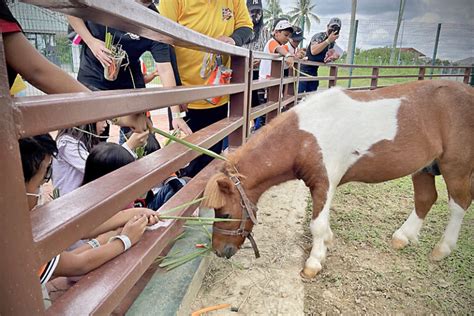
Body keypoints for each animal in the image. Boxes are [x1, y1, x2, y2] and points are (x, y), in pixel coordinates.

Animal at [202, 80, 472, 278]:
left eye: (225, 213)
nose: (218, 251)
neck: (306, 136)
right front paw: (327, 244)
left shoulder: (324, 183)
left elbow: (317, 225)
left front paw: (313, 262)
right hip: (425, 167)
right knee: (426, 199)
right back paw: (402, 237)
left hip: (455, 167)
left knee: (459, 205)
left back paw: (442, 248)